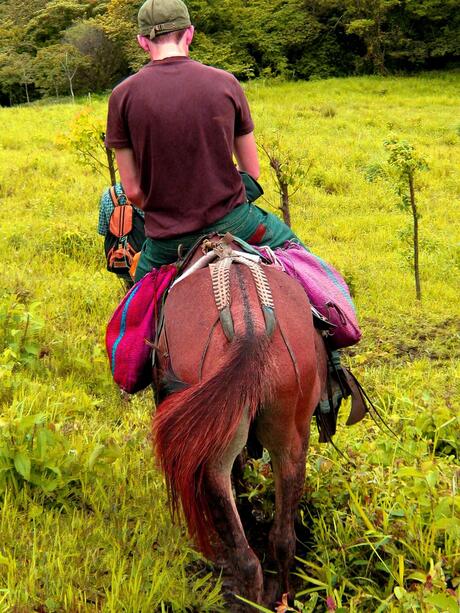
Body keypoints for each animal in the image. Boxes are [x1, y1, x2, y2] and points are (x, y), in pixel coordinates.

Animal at [153, 241, 328, 608]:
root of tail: (250, 327)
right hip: (291, 436)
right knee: (283, 539)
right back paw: (282, 597)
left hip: (209, 453)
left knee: (244, 556)